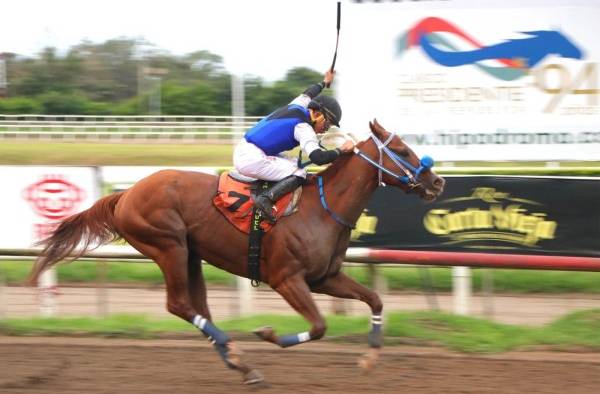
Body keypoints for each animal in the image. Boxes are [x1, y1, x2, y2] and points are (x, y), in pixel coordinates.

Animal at [29, 119, 446, 382]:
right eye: (403, 150)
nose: (437, 181)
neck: (321, 208)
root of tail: (126, 194)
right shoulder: (287, 278)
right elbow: (319, 326)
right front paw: (267, 333)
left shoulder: (324, 277)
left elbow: (375, 300)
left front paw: (370, 357)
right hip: (168, 246)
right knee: (178, 305)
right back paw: (234, 352)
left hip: (190, 254)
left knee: (196, 307)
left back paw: (239, 363)